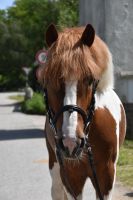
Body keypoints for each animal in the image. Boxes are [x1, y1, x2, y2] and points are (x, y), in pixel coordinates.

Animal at [37, 23, 125, 200]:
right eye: (49, 80)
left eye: (90, 79)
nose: (70, 142)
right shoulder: (71, 176)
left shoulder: (106, 176)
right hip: (55, 168)